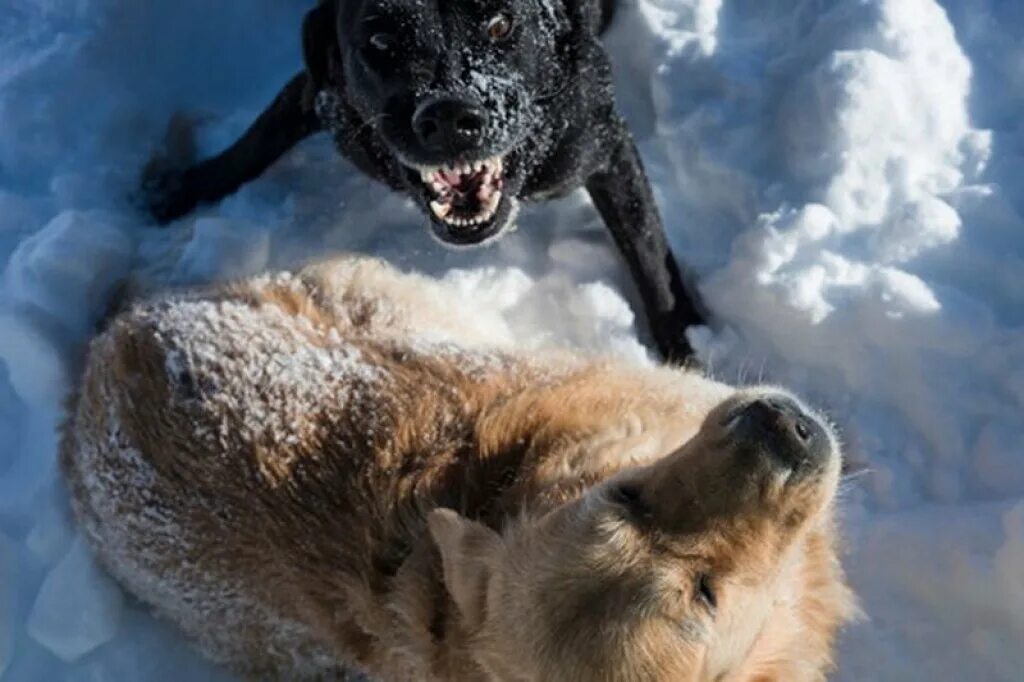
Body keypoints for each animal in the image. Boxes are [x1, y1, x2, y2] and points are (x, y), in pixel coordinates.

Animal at [142, 0, 704, 358]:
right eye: (381, 38)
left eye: (499, 25)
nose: (450, 115)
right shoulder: (324, 98)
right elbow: (259, 136)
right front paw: (187, 187)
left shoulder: (603, 144)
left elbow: (652, 260)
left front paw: (690, 351)